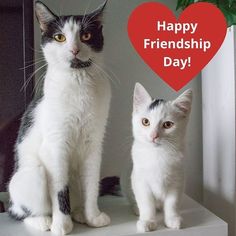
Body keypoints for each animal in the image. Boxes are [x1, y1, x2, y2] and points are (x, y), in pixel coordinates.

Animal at [7, 1, 111, 234]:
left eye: (86, 35)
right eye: (60, 37)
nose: (74, 50)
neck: (79, 82)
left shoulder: (94, 145)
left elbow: (92, 184)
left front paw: (93, 217)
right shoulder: (55, 146)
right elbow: (60, 190)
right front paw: (61, 225)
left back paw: (80, 213)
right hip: (32, 174)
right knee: (21, 213)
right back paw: (43, 221)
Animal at [122, 83, 193, 232]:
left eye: (168, 124)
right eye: (145, 122)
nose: (154, 135)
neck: (157, 154)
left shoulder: (177, 181)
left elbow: (173, 202)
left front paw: (172, 219)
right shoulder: (140, 181)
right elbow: (146, 203)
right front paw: (147, 221)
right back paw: (136, 208)